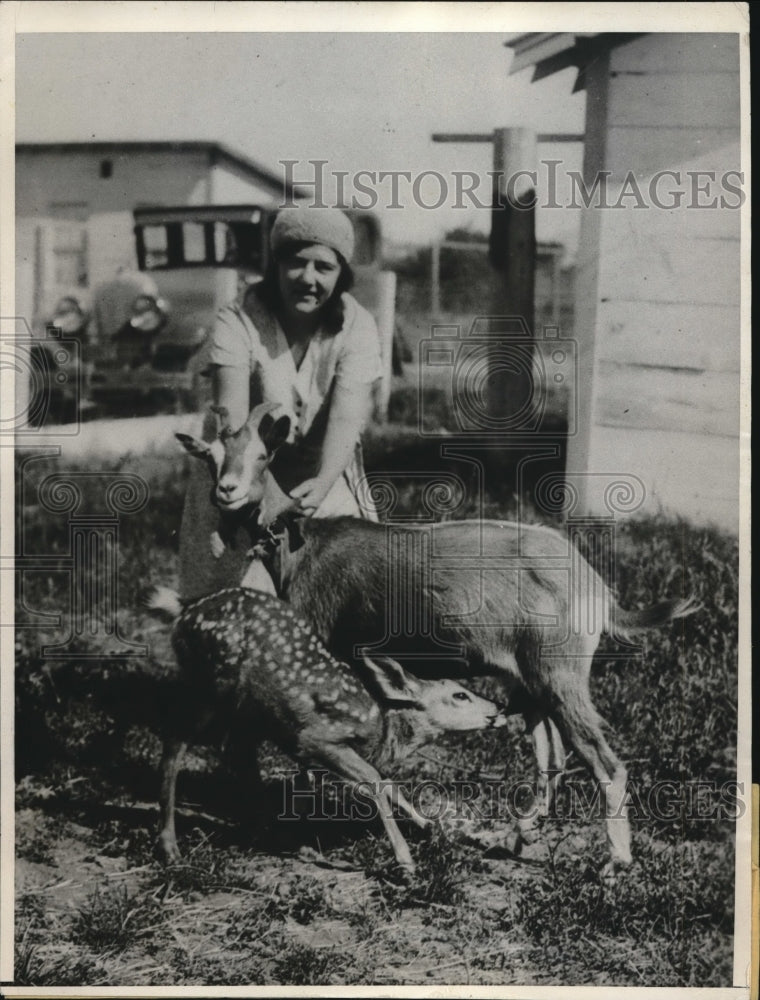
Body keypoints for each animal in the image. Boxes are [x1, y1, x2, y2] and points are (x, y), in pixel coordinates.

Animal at [145, 584, 508, 872]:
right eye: (459, 695)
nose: (499, 708)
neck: (381, 729)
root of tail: (185, 609)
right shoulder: (315, 738)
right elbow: (375, 780)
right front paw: (405, 860)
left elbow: (389, 784)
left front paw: (434, 828)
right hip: (212, 683)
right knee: (175, 745)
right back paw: (170, 847)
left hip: (245, 710)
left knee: (234, 753)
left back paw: (273, 835)